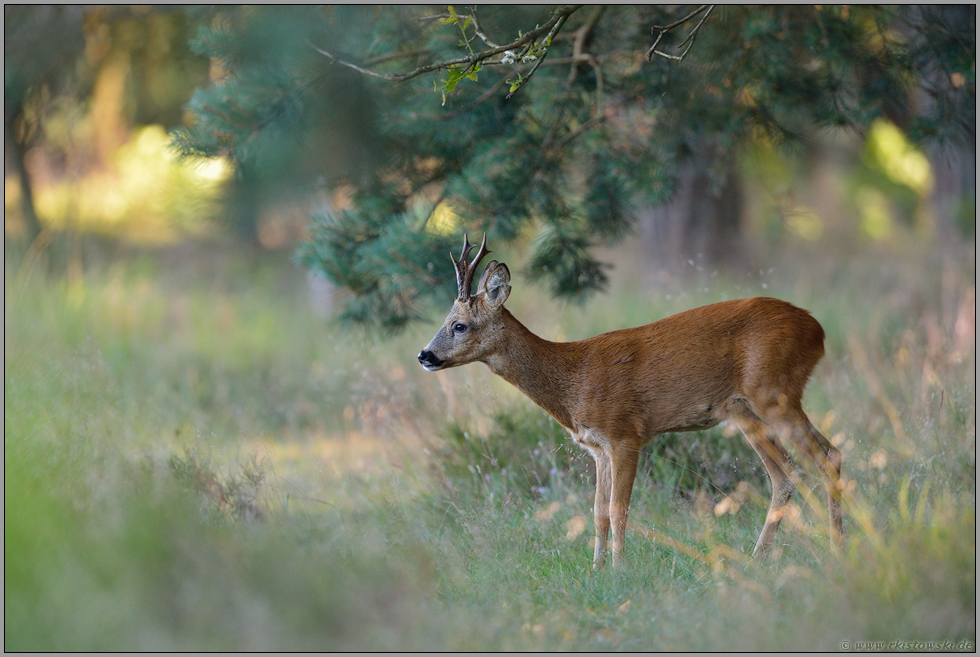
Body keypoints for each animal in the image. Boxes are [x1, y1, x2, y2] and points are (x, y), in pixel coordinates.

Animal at [418, 236, 840, 568]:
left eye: (459, 325)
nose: (424, 355)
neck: (573, 379)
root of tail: (818, 330)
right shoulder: (597, 447)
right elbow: (598, 512)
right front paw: (596, 570)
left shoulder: (625, 434)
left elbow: (619, 509)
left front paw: (620, 570)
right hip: (744, 410)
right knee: (785, 475)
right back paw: (758, 558)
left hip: (775, 392)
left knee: (827, 456)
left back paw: (838, 546)